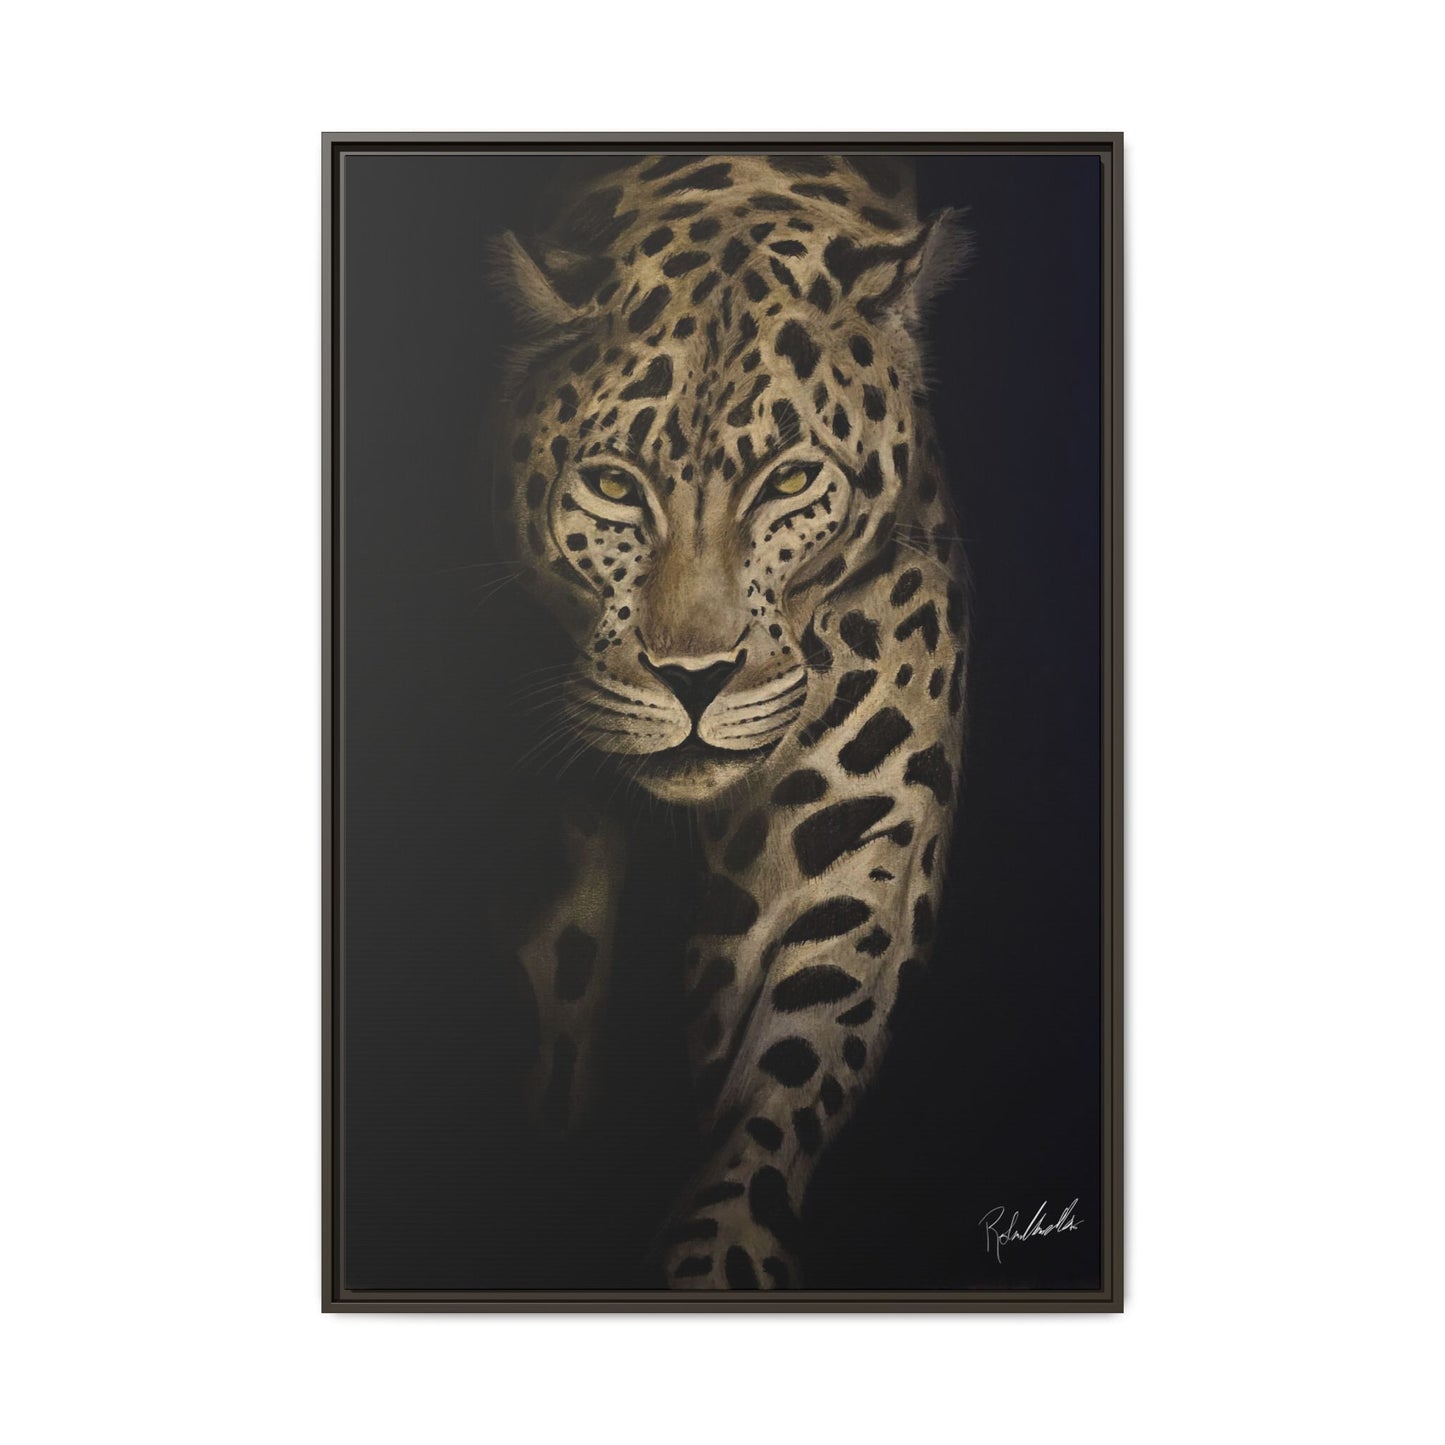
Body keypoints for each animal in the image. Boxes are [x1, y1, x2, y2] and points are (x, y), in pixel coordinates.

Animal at [489, 152, 970, 1290]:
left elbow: (784, 1074)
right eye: (612, 484)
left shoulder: (851, 843)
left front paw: (717, 1258)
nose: (694, 679)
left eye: (789, 479)